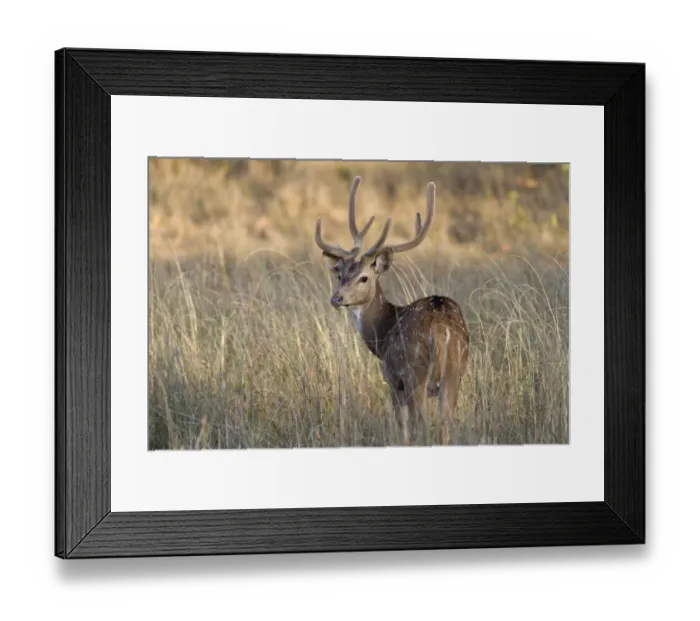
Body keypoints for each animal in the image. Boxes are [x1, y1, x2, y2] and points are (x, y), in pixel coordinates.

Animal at [315, 176, 469, 446]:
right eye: (340, 274)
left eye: (364, 278)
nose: (337, 298)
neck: (382, 334)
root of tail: (440, 331)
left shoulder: (392, 379)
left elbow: (403, 429)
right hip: (454, 373)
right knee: (445, 425)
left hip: (414, 374)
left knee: (423, 424)